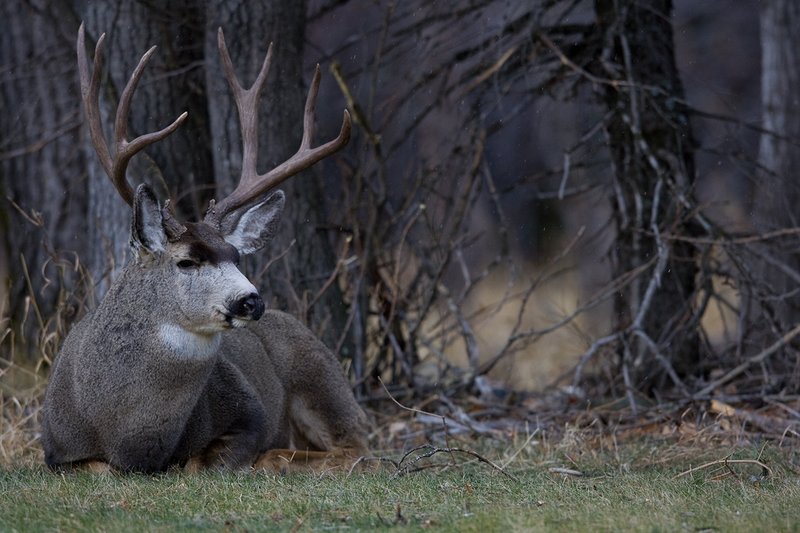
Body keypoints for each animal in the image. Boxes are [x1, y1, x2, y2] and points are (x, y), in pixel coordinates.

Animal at [40, 24, 369, 474]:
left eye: (236, 257)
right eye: (187, 262)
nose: (251, 300)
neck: (124, 432)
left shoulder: (250, 412)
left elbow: (203, 462)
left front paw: (259, 457)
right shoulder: (54, 450)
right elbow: (98, 468)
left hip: (322, 377)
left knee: (360, 450)